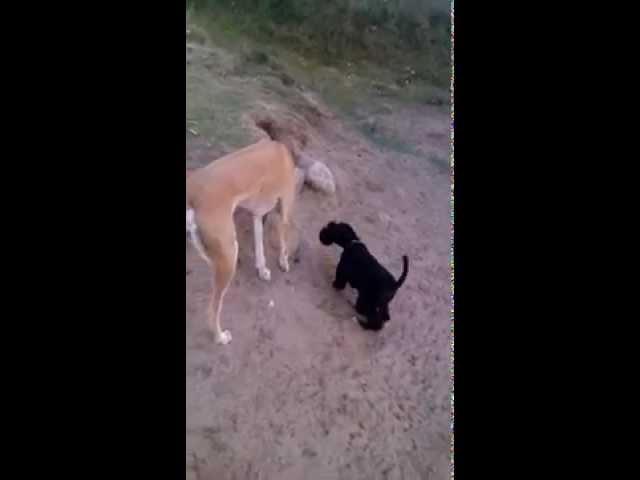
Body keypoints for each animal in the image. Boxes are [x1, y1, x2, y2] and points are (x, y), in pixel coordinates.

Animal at [184, 139, 296, 344]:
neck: (280, 149)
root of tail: (193, 188)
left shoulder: (257, 215)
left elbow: (260, 249)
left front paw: (262, 270)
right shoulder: (285, 209)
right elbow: (283, 243)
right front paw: (283, 263)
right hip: (229, 256)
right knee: (213, 310)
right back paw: (220, 337)